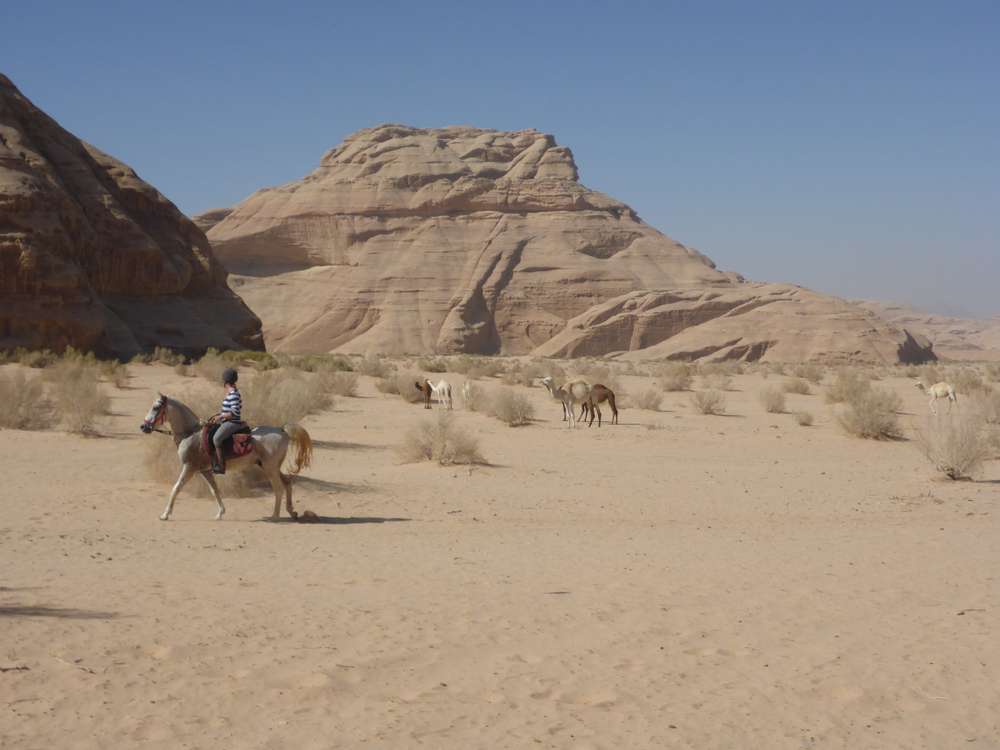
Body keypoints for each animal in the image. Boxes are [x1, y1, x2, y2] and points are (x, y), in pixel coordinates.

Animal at [140, 394, 313, 521]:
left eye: (156, 407)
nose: (143, 427)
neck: (190, 434)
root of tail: (282, 430)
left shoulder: (189, 467)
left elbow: (176, 488)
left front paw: (165, 514)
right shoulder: (205, 471)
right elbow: (214, 490)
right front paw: (220, 513)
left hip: (270, 469)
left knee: (278, 488)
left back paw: (275, 516)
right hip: (270, 467)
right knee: (287, 482)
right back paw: (291, 512)